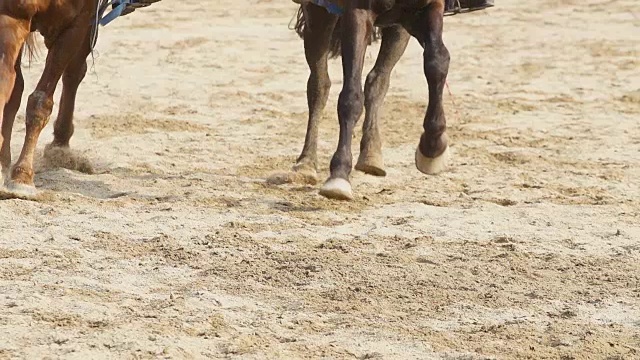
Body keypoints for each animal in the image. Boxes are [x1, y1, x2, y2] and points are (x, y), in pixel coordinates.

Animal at [288, 0, 458, 200]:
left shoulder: (425, 9)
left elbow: (437, 61)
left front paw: (433, 147)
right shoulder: (357, 13)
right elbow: (351, 97)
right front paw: (339, 174)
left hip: (398, 28)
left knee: (378, 80)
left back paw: (372, 154)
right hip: (317, 14)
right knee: (319, 85)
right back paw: (306, 163)